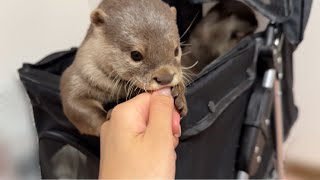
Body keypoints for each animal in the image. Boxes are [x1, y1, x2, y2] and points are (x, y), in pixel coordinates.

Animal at [60, 0, 188, 136]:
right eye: (136, 55)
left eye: (176, 50)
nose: (165, 78)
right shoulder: (79, 74)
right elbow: (74, 104)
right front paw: (108, 120)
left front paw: (179, 94)